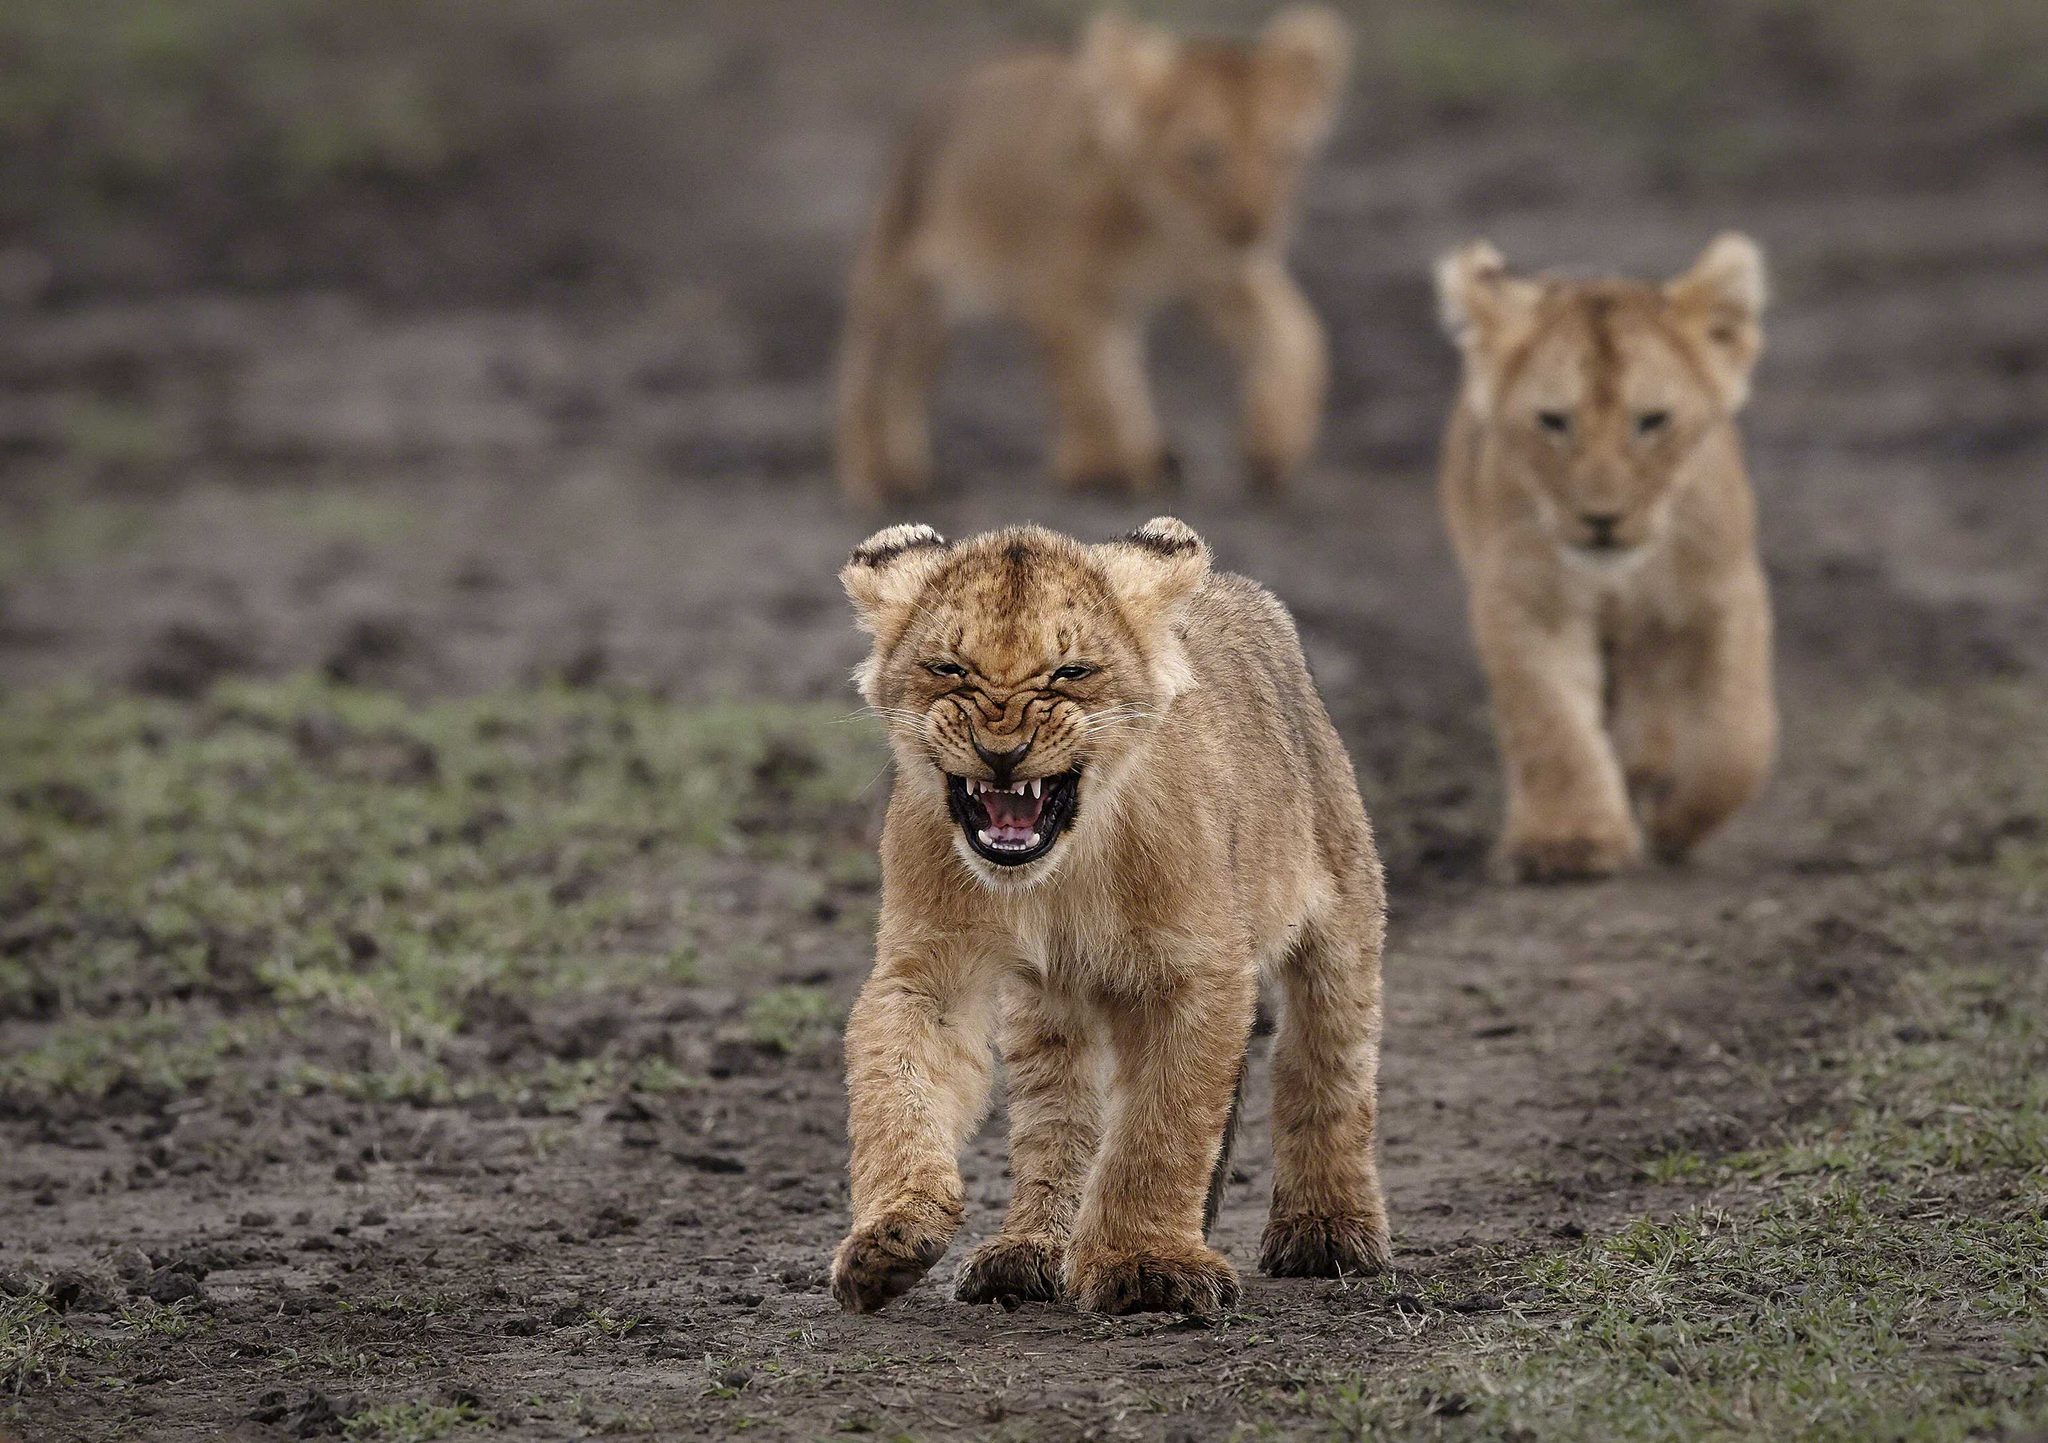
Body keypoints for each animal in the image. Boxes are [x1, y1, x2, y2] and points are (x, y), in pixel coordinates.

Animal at [829, 517, 1388, 1316]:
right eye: (949, 668)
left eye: (1070, 672)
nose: (1003, 753)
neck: (1056, 875)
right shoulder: (929, 967)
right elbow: (895, 1090)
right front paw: (889, 1238)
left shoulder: (1197, 970)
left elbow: (1160, 1127)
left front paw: (1145, 1265)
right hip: (1050, 1003)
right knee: (1058, 1111)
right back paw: (1030, 1251)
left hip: (1341, 902)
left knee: (1327, 1057)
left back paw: (1329, 1230)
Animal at [836, 7, 1350, 504]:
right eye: (1203, 156)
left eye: (1283, 155)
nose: (1253, 226)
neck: (1164, 228)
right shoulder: (1063, 290)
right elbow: (1090, 386)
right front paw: (1104, 469)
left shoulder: (1222, 274)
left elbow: (1295, 335)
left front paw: (1274, 444)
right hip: (903, 282)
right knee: (877, 375)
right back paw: (882, 476)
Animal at [1434, 234, 1778, 881]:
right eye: (1553, 421)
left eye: (1652, 421)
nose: (1602, 519)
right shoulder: (1526, 600)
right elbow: (1551, 721)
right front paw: (1569, 842)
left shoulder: (1723, 591)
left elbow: (1736, 733)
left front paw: (1677, 817)